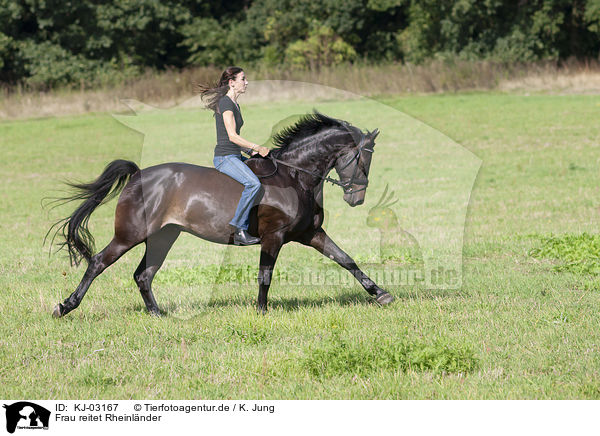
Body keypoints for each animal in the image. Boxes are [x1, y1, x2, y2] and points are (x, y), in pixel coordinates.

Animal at [49, 111, 396, 316]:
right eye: (363, 159)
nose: (357, 198)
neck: (295, 176)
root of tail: (138, 175)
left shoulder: (311, 234)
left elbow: (347, 260)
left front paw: (380, 294)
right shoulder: (273, 237)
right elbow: (265, 274)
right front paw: (261, 312)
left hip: (163, 236)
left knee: (143, 274)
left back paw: (157, 314)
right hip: (130, 235)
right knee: (98, 263)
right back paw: (65, 307)